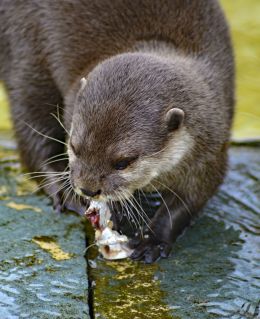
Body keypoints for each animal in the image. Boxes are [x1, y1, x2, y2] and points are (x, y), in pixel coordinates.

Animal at [0, 1, 235, 264]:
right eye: (74, 147)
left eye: (123, 162)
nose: (87, 188)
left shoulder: (211, 146)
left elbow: (192, 198)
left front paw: (153, 240)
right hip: (24, 50)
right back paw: (64, 192)